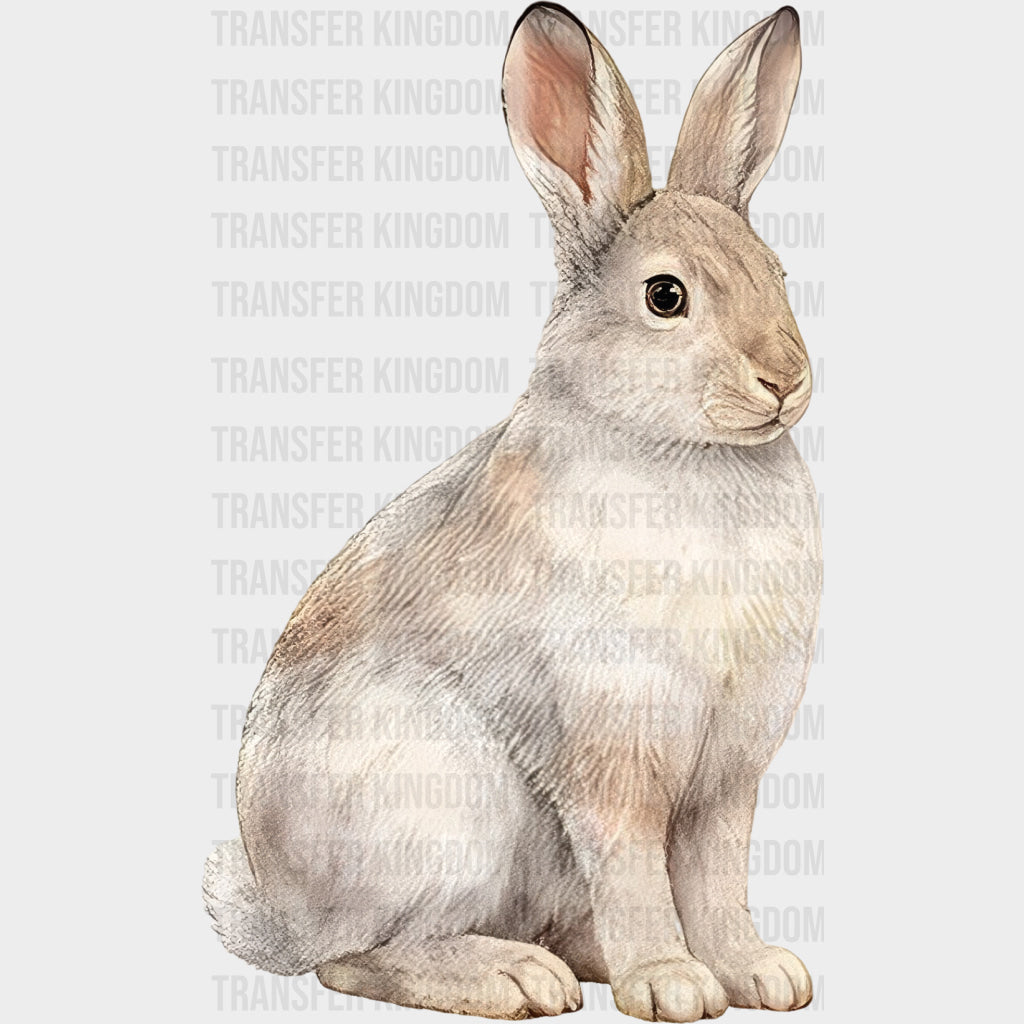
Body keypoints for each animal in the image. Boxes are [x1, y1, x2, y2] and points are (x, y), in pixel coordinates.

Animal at [203, 4, 822, 1021]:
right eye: (666, 297)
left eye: (777, 271)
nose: (786, 380)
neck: (683, 450)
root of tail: (281, 911)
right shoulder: (612, 749)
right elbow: (638, 871)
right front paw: (672, 983)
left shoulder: (728, 775)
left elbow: (716, 878)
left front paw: (760, 972)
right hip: (444, 810)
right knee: (357, 957)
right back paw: (515, 977)